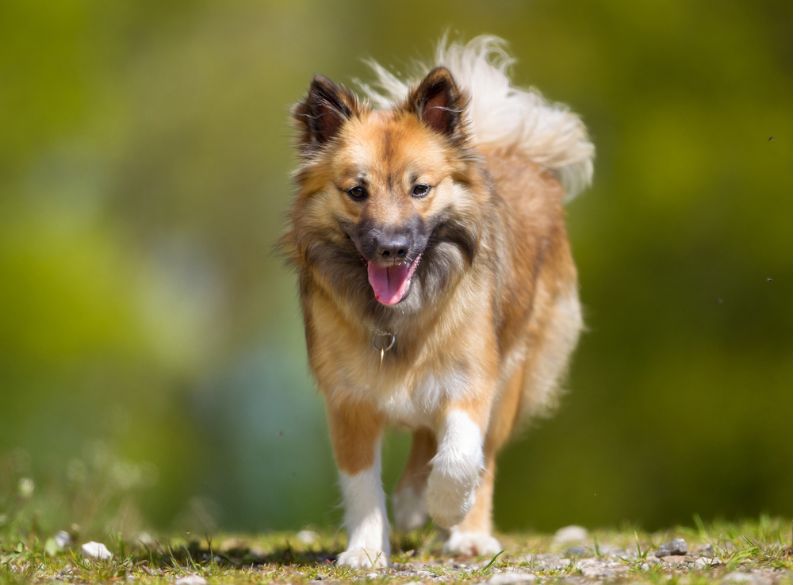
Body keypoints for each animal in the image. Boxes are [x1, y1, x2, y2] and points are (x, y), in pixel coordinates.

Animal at [282, 36, 592, 564]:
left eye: (420, 188)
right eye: (357, 191)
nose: (391, 248)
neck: (397, 320)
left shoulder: (472, 379)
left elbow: (460, 457)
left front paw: (447, 507)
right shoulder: (348, 401)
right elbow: (361, 484)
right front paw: (367, 549)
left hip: (515, 371)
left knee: (480, 456)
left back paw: (465, 532)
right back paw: (410, 503)